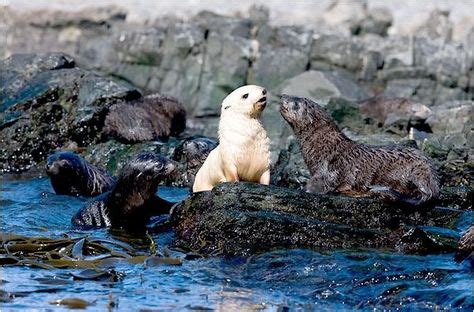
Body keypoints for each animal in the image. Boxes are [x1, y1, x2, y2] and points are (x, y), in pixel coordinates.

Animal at [280, 94, 438, 204]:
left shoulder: (328, 167)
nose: (282, 97)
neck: (323, 144)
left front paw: (305, 189)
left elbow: (323, 182)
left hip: (412, 172)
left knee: (417, 193)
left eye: (296, 104)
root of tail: (433, 181)